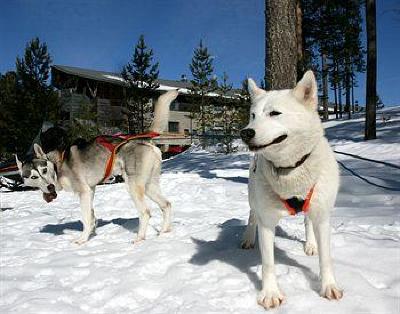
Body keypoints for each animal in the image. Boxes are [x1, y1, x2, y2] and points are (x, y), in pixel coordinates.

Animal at [239, 71, 342, 310]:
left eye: (274, 113)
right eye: (253, 115)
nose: (245, 132)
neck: (290, 169)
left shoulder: (322, 216)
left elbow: (326, 258)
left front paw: (328, 286)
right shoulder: (267, 222)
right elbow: (268, 263)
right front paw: (270, 293)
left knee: (307, 221)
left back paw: (311, 244)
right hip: (253, 198)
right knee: (252, 216)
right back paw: (248, 237)